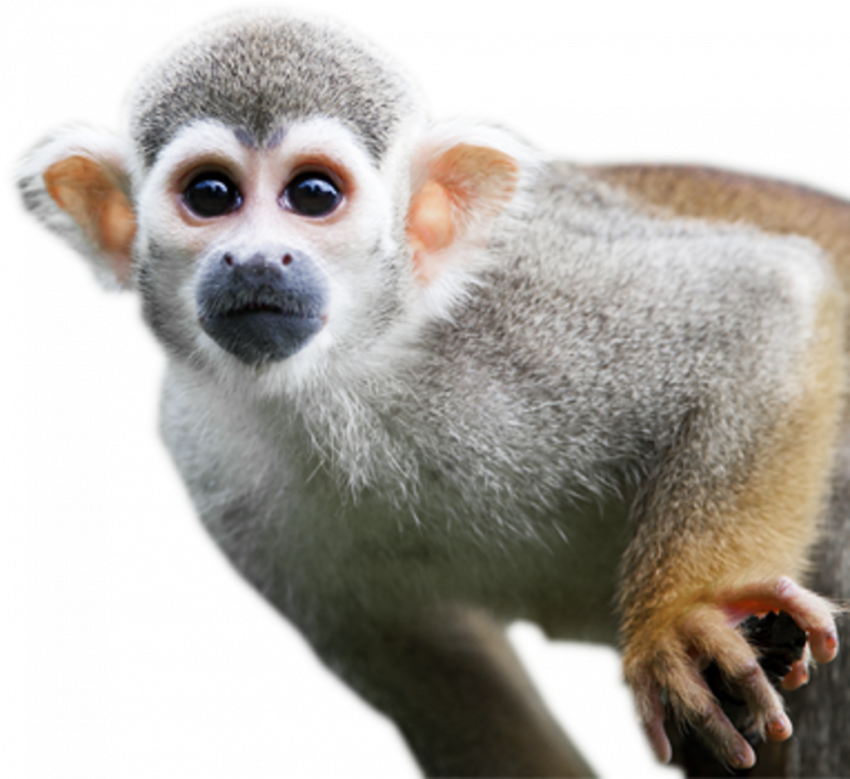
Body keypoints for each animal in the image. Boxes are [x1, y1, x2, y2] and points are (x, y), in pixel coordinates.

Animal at [5, 4, 846, 777]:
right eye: (210, 194)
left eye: (313, 194)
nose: (255, 261)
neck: (351, 376)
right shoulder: (207, 462)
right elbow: (437, 676)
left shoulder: (526, 304)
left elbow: (762, 301)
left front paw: (684, 616)